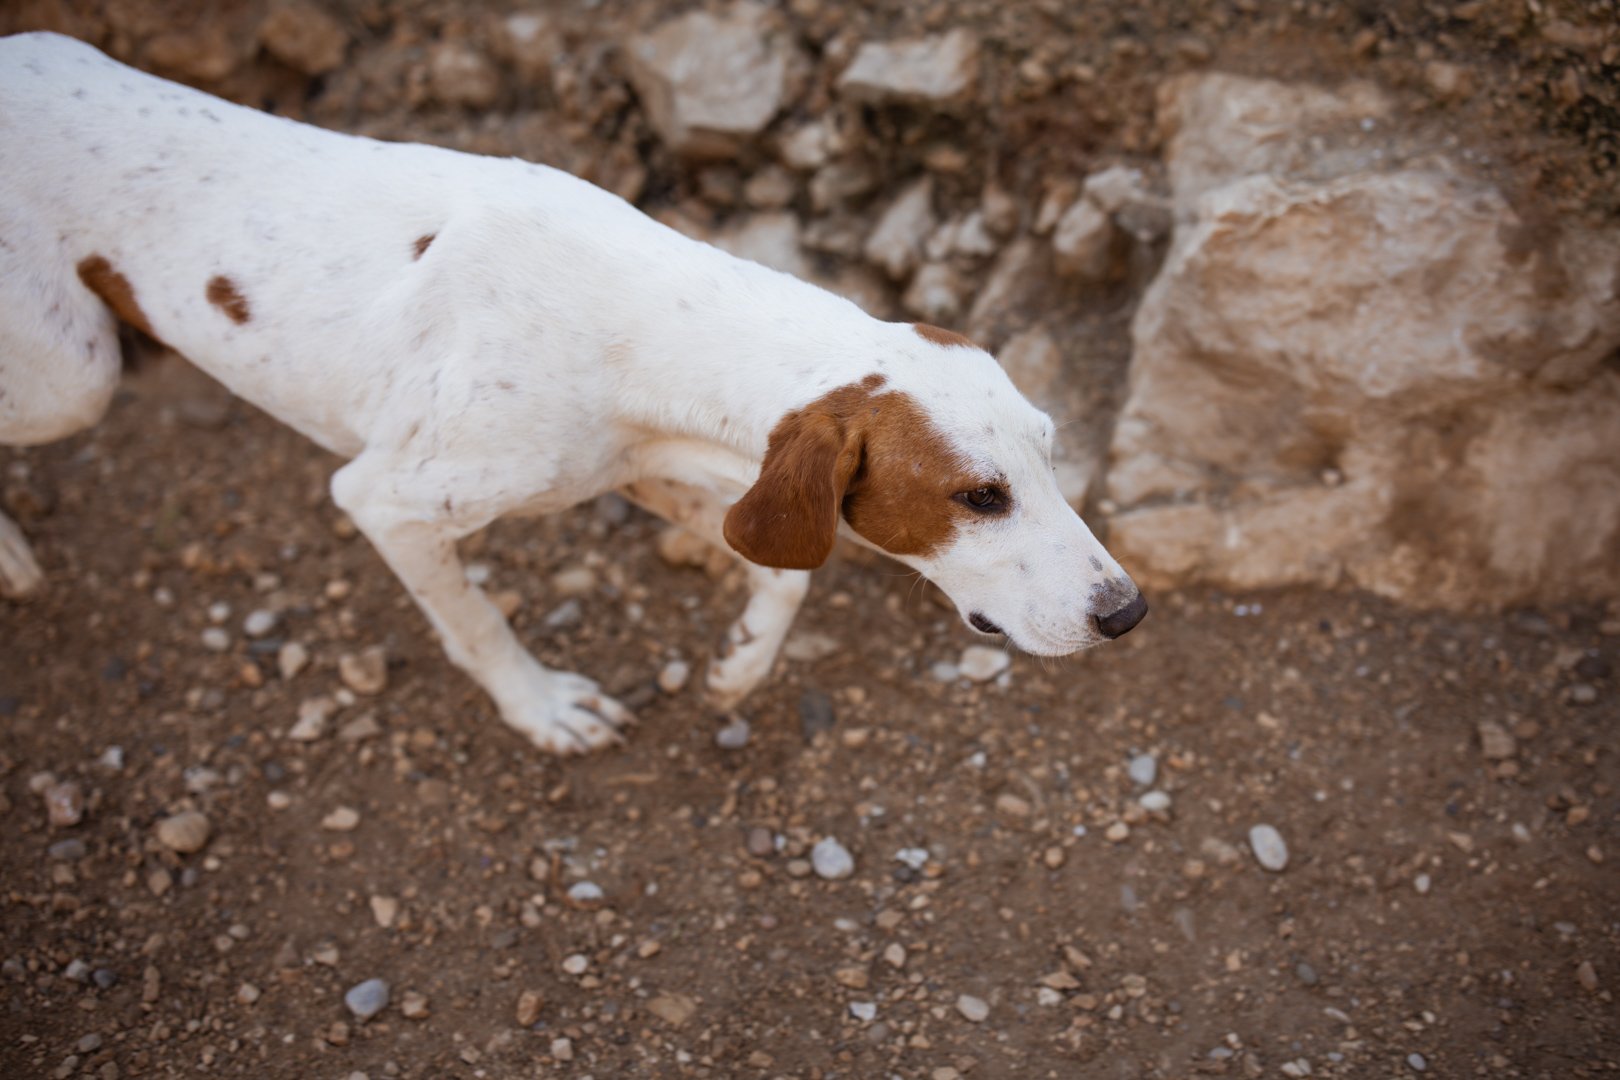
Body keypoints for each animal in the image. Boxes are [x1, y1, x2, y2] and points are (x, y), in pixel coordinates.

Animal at [0, 33, 1146, 753]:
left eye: (1053, 457)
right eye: (978, 496)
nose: (1130, 612)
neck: (638, 312)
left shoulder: (645, 468)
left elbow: (782, 572)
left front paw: (741, 664)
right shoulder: (387, 501)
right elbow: (475, 621)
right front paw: (543, 707)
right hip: (74, 379)